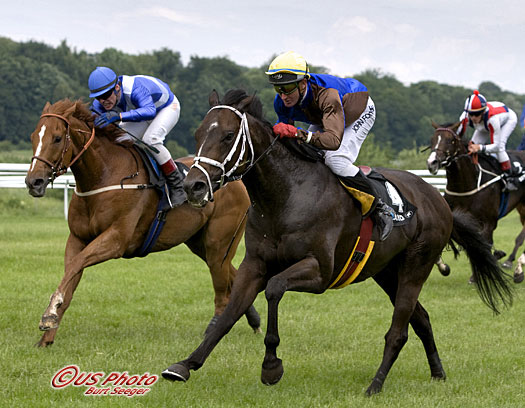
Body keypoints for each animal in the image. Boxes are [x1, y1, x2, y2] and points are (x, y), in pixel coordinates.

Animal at [25, 99, 260, 348]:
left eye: (57, 138)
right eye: (33, 136)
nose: (33, 182)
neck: (104, 176)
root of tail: (234, 178)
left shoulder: (116, 240)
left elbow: (76, 265)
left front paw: (49, 313)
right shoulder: (77, 238)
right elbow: (71, 274)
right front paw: (47, 335)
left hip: (218, 243)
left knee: (222, 284)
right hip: (198, 242)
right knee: (232, 273)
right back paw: (253, 320)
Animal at [161, 89, 512, 396]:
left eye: (228, 135)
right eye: (198, 134)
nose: (193, 186)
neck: (287, 195)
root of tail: (439, 201)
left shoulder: (320, 272)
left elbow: (274, 288)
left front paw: (271, 366)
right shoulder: (254, 265)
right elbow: (228, 315)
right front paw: (184, 365)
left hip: (417, 265)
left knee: (398, 331)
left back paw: (375, 385)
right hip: (387, 272)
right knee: (422, 319)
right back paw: (437, 372)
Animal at [426, 119, 524, 282]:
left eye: (451, 140)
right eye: (432, 140)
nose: (432, 162)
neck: (465, 185)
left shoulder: (489, 223)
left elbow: (483, 244)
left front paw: (479, 273)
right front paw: (443, 266)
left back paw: (517, 268)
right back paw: (511, 262)